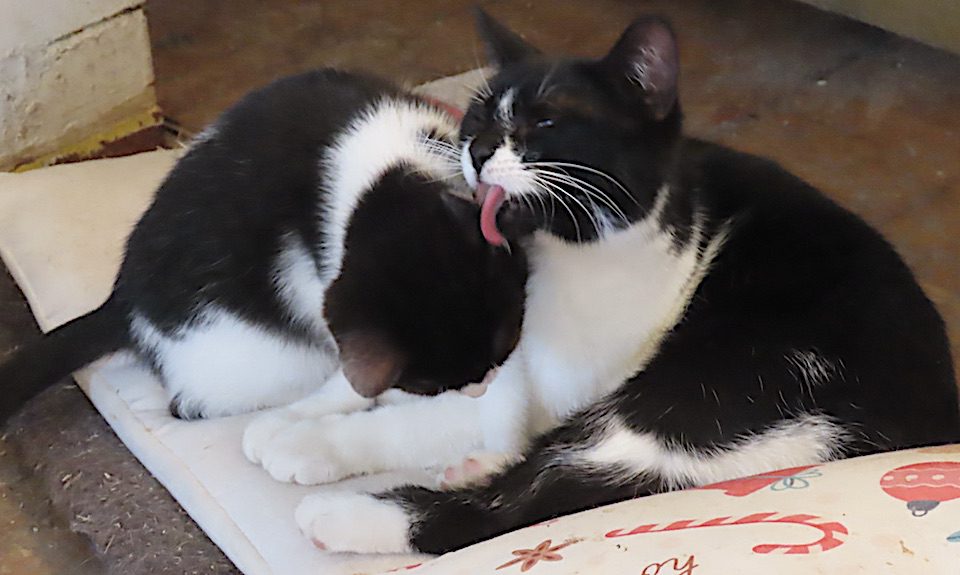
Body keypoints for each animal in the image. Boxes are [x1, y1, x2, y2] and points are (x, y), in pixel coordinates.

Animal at [0, 68, 527, 422]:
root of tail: (123, 301)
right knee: (191, 404)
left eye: (505, 349)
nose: (482, 389)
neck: (385, 185)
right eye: (430, 388)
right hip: (260, 363)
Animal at [260, 10, 960, 555]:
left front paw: (301, 443)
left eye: (545, 123)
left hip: (712, 385)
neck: (562, 259)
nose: (479, 149)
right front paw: (291, 416)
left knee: (516, 498)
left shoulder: (559, 381)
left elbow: (433, 417)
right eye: (477, 117)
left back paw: (352, 513)